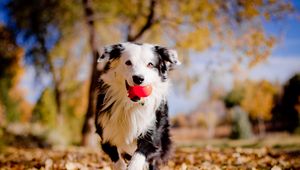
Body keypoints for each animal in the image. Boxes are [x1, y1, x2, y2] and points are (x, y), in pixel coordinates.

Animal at [95, 41, 180, 169]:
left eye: (150, 64)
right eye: (128, 62)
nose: (138, 78)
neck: (131, 105)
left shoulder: (152, 134)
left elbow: (138, 156)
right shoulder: (106, 133)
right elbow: (118, 161)